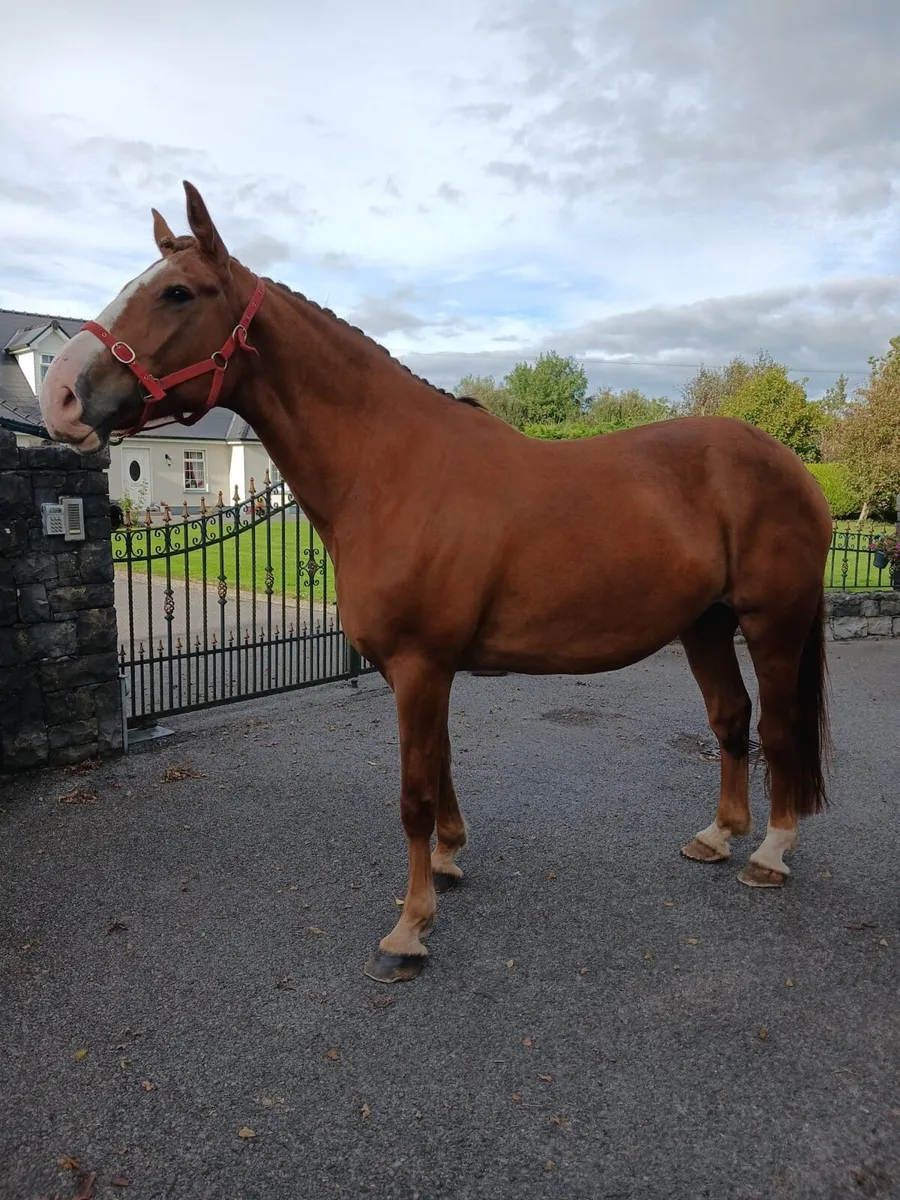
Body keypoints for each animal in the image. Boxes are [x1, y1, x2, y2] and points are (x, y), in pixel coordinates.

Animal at [40, 182, 833, 984]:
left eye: (177, 292)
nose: (59, 395)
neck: (392, 469)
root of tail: (788, 464)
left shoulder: (421, 665)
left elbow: (414, 793)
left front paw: (410, 927)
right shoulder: (421, 670)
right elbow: (443, 768)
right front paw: (451, 859)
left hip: (771, 623)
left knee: (775, 727)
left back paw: (771, 852)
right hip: (706, 622)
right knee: (731, 718)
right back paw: (719, 836)